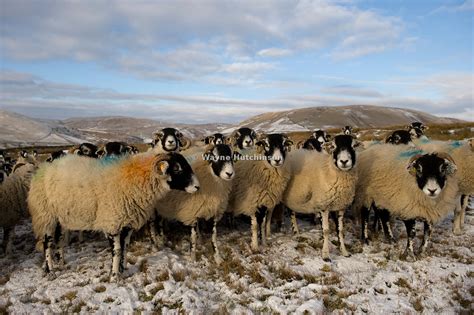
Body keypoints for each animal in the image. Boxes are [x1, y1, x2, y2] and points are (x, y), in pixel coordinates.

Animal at [29, 152, 200, 280]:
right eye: (177, 168)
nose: (198, 187)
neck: (135, 178)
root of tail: (44, 167)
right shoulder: (113, 222)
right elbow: (117, 250)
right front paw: (114, 276)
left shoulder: (127, 223)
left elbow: (124, 248)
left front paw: (123, 271)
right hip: (46, 215)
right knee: (47, 243)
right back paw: (50, 271)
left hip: (61, 217)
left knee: (58, 240)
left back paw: (60, 263)